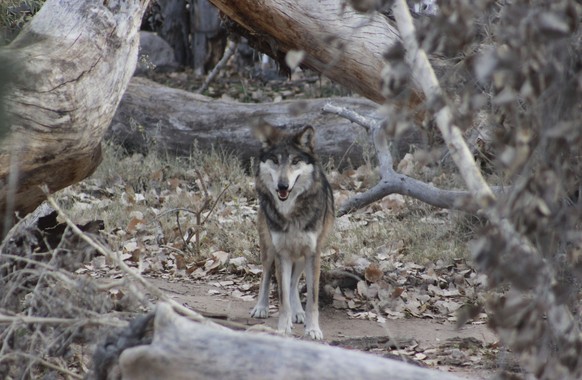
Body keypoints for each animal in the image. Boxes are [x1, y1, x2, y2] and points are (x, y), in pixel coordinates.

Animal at [252, 120, 338, 340]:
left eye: (295, 161)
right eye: (275, 161)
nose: (283, 185)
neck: (291, 212)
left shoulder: (313, 253)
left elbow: (312, 299)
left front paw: (313, 328)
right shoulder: (282, 253)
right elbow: (283, 299)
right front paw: (283, 327)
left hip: (300, 257)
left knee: (293, 283)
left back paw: (299, 313)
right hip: (269, 249)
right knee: (266, 275)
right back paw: (261, 307)